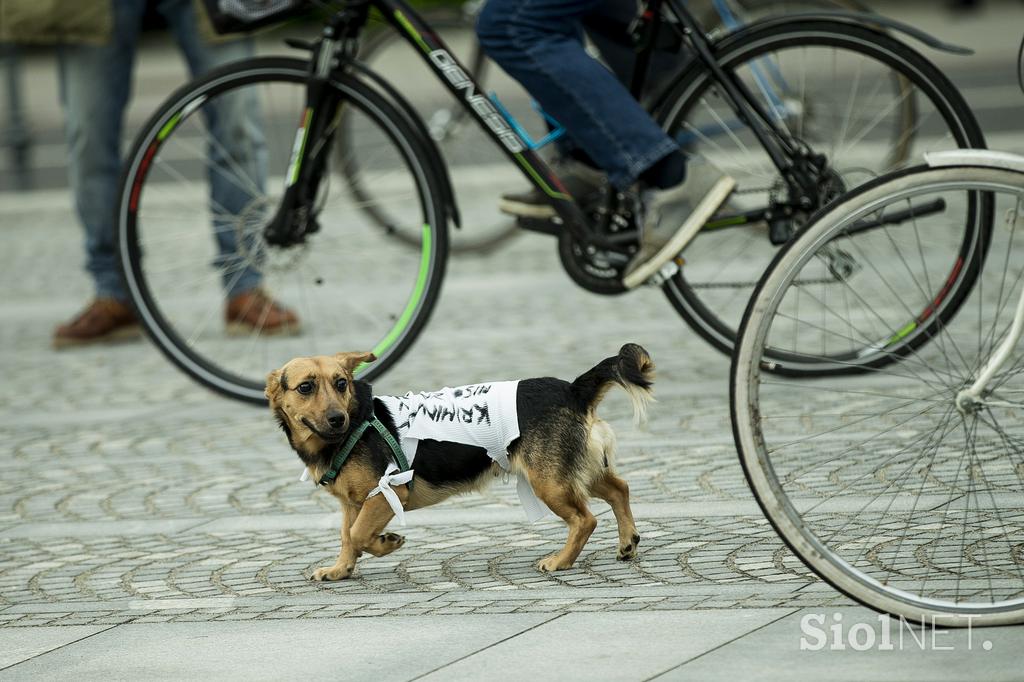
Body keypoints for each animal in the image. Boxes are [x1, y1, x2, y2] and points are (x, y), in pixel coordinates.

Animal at [268, 342, 651, 577]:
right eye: (305, 387)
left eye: (341, 384)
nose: (338, 419)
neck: (353, 426)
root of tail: (572, 389)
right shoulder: (352, 503)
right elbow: (347, 536)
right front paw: (340, 570)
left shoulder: (389, 493)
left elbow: (360, 534)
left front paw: (386, 544)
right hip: (576, 470)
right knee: (620, 489)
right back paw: (627, 542)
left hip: (550, 482)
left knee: (585, 520)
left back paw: (560, 561)